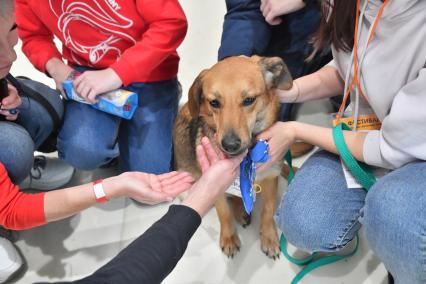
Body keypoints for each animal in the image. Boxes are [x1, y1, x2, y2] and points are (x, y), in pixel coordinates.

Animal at [173, 55, 292, 260]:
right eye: (214, 102)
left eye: (249, 100)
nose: (229, 145)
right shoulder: (215, 186)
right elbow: (224, 213)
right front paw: (229, 238)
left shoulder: (271, 177)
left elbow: (268, 210)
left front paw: (269, 238)